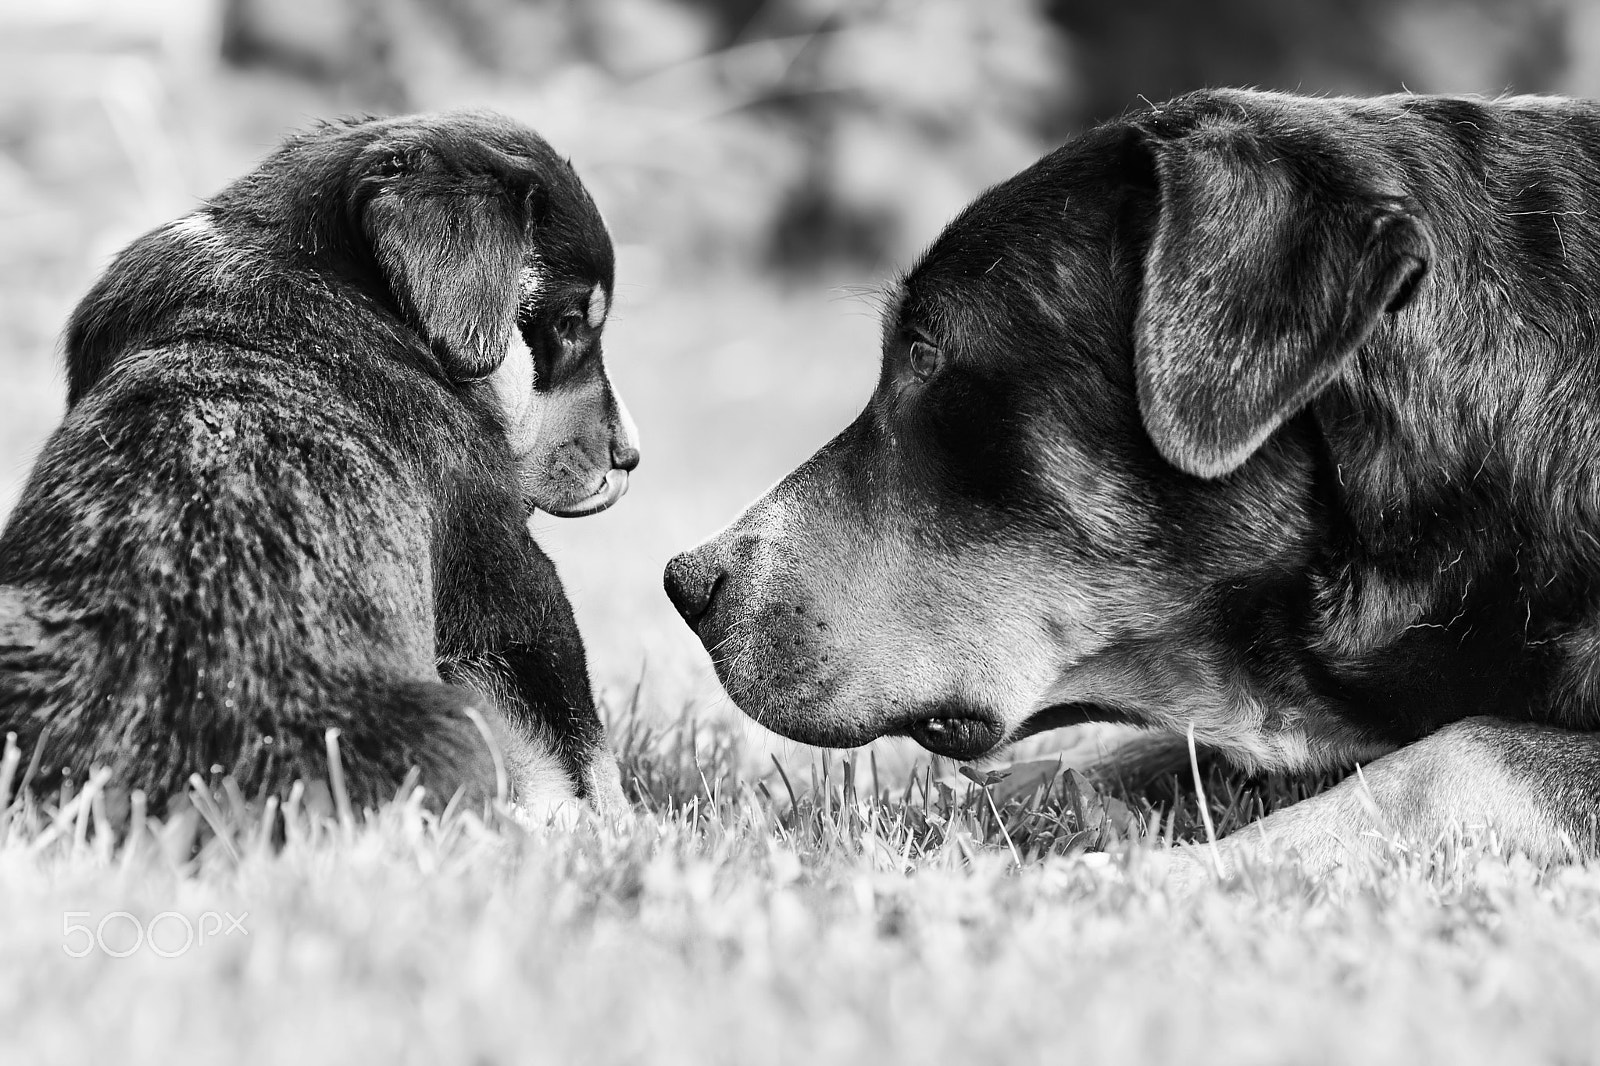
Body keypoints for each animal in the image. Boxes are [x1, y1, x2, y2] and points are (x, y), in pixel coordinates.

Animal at [0, 108, 636, 809]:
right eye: (572, 324)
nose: (630, 457)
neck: (317, 266)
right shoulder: (503, 571)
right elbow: (582, 747)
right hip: (457, 719)